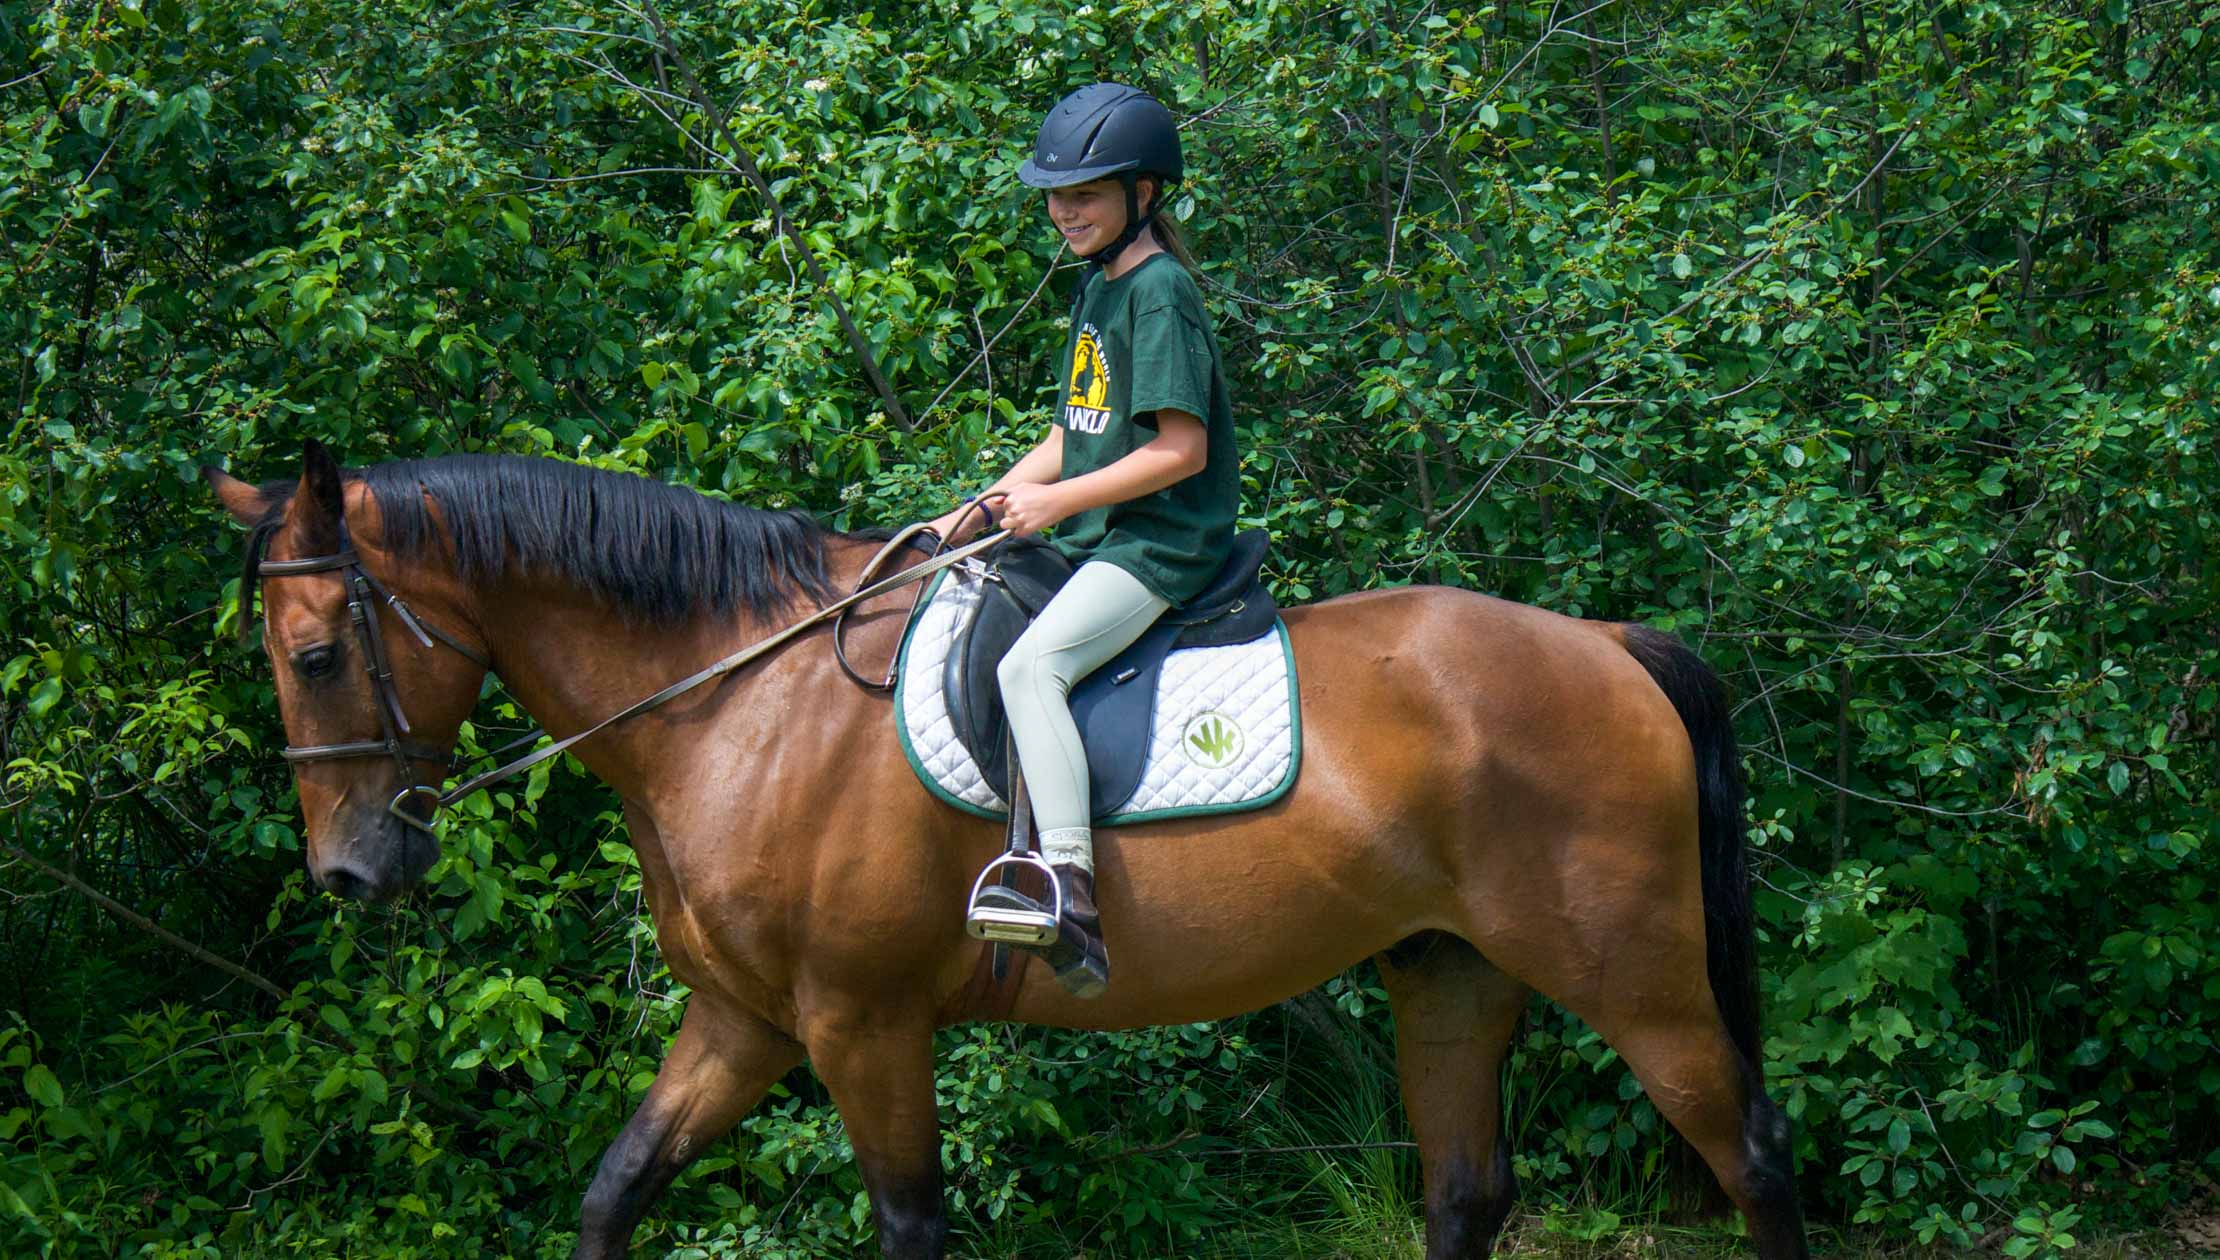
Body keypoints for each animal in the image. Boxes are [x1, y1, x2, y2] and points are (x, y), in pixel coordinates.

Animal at [204, 443, 1802, 1260]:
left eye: (319, 651)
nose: (351, 875)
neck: (736, 699)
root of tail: (1606, 644)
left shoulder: (863, 1023)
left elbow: (910, 1228)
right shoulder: (741, 1020)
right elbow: (617, 1190)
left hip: (1636, 977)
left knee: (1753, 1161)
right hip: (1451, 972)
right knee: (1468, 1192)